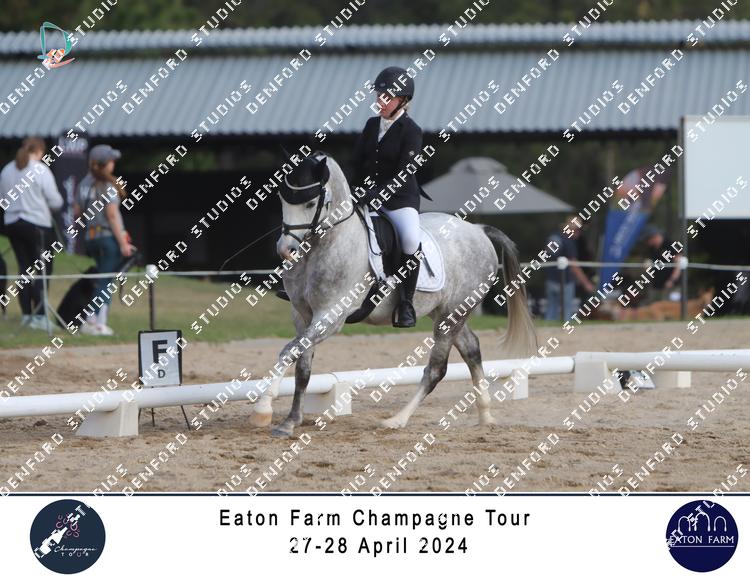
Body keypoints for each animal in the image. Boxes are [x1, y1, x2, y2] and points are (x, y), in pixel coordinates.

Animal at [250, 152, 537, 437]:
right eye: (282, 200)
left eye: (310, 203)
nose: (286, 250)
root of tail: (477, 230)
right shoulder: (302, 314)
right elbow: (302, 366)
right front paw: (291, 420)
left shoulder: (331, 316)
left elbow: (289, 351)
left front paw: (263, 409)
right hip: (445, 312)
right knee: (471, 348)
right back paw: (485, 415)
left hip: (454, 313)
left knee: (437, 369)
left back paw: (397, 420)